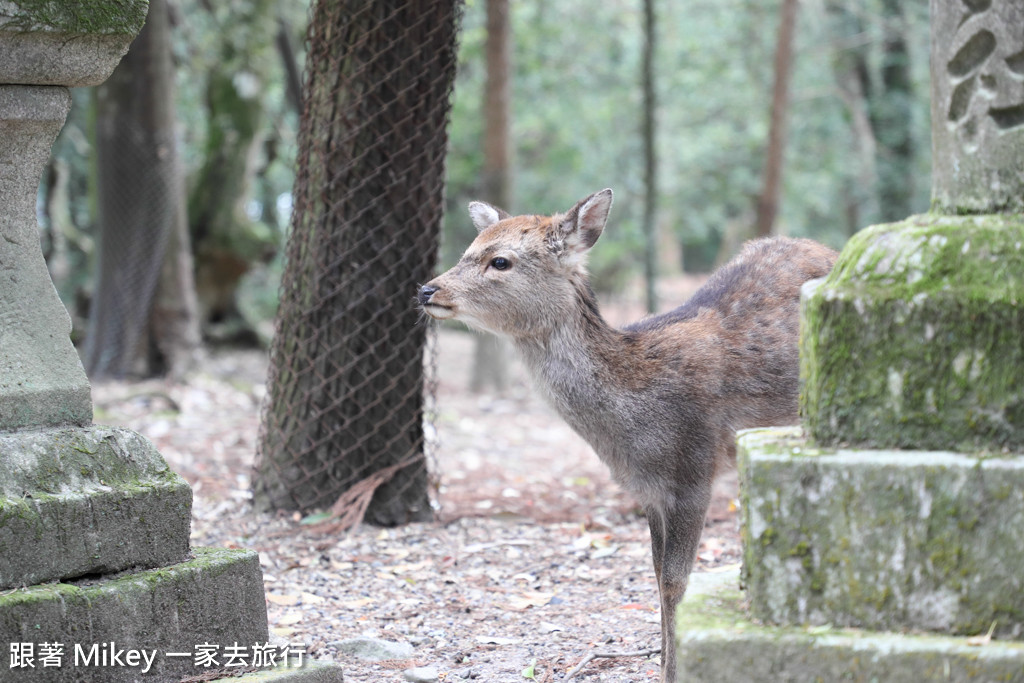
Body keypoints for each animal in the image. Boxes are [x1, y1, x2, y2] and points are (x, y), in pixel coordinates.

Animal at [417, 188, 839, 683]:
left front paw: (676, 671)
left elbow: (676, 579)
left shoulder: (695, 469)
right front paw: (662, 663)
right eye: (468, 249)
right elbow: (655, 573)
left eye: (499, 260)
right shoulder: (647, 489)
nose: (427, 289)